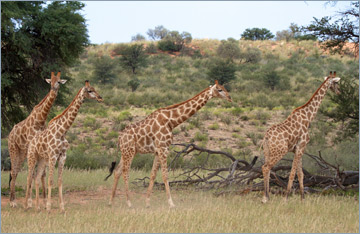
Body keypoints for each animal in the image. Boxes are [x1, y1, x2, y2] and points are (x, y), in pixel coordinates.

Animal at [7, 72, 66, 207]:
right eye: (50, 81)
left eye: (59, 81)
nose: (53, 89)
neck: (40, 119)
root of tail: (10, 133)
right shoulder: (34, 146)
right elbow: (34, 173)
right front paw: (29, 202)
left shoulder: (41, 147)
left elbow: (41, 173)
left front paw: (43, 201)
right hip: (13, 149)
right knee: (13, 171)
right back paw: (13, 201)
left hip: (22, 151)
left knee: (16, 170)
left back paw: (14, 200)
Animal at [23, 80, 102, 212]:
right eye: (89, 90)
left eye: (95, 88)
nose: (100, 98)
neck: (62, 131)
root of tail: (31, 142)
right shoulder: (53, 156)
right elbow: (50, 181)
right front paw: (49, 208)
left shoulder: (62, 156)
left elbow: (60, 181)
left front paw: (62, 208)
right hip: (32, 157)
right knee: (29, 178)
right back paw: (27, 206)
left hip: (42, 159)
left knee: (37, 178)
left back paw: (38, 207)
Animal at [260, 72, 342, 203]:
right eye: (336, 83)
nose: (339, 92)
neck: (308, 117)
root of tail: (266, 137)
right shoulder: (301, 147)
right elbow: (293, 173)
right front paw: (286, 197)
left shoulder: (298, 149)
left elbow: (300, 173)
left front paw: (302, 198)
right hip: (280, 151)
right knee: (266, 167)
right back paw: (265, 198)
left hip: (267, 151)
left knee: (265, 168)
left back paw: (267, 196)